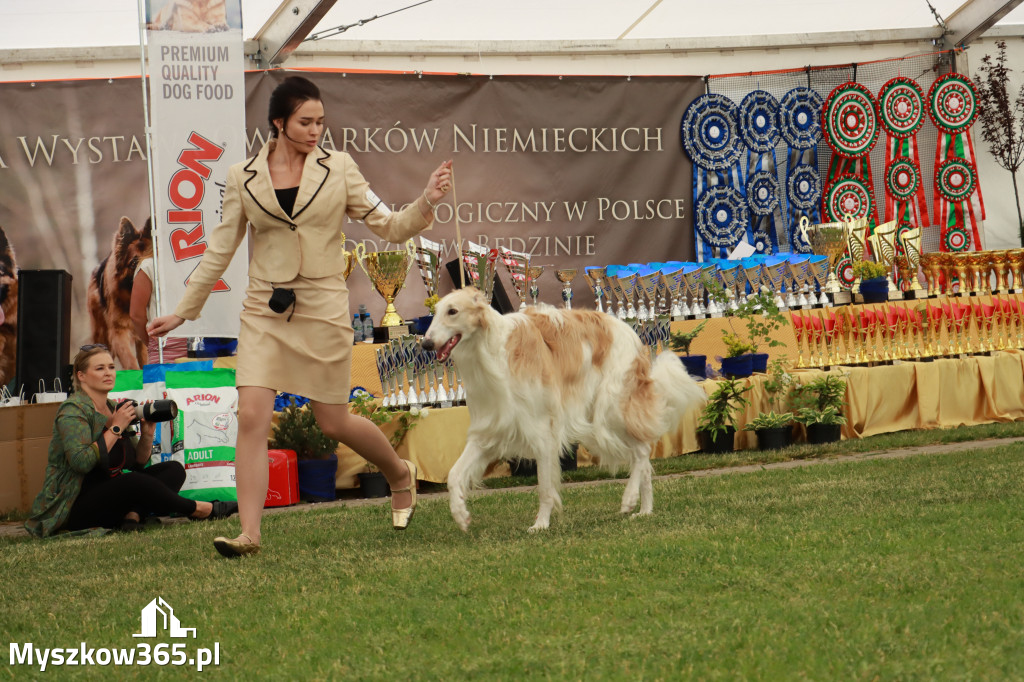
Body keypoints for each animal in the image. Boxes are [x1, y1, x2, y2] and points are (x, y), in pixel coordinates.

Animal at [421, 284, 704, 528]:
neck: (493, 351)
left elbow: (545, 487)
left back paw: (629, 499)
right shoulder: (489, 430)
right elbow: (454, 475)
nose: (425, 344)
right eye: (435, 312)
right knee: (642, 459)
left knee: (643, 450)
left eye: (453, 311)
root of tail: (630, 332)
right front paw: (460, 514)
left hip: (610, 411)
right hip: (594, 421)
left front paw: (540, 525)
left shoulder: (541, 430)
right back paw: (644, 510)